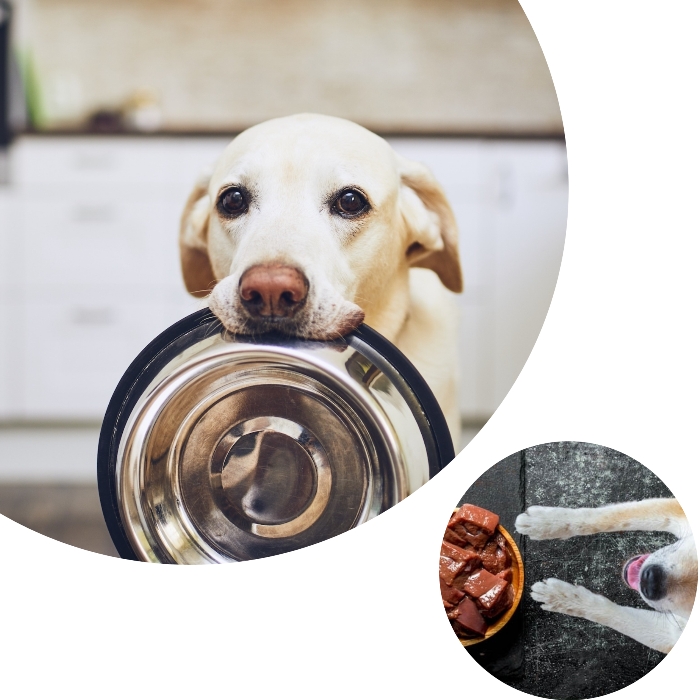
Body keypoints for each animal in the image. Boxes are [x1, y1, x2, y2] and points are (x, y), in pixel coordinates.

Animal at [516, 498, 696, 652]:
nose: (650, 581)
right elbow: (612, 517)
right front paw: (547, 522)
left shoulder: (673, 635)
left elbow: (618, 619)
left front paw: (561, 597)